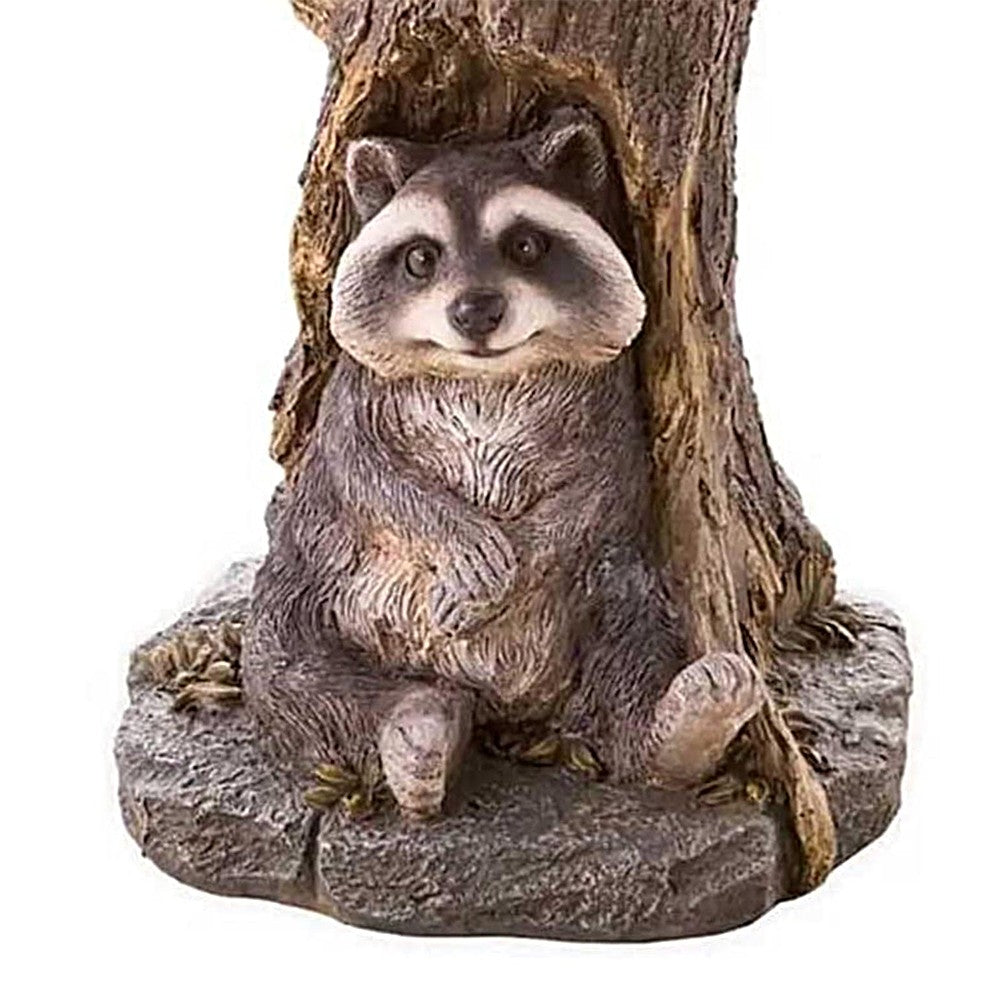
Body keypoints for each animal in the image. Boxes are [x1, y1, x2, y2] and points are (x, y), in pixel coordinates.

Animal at [243, 109, 763, 816]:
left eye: (526, 246)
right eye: (420, 258)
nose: (476, 311)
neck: (484, 374)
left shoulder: (611, 397)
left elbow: (601, 486)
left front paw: (523, 555)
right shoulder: (352, 394)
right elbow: (365, 476)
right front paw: (461, 540)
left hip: (612, 587)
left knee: (631, 642)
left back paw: (679, 725)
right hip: (312, 582)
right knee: (288, 664)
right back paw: (416, 726)